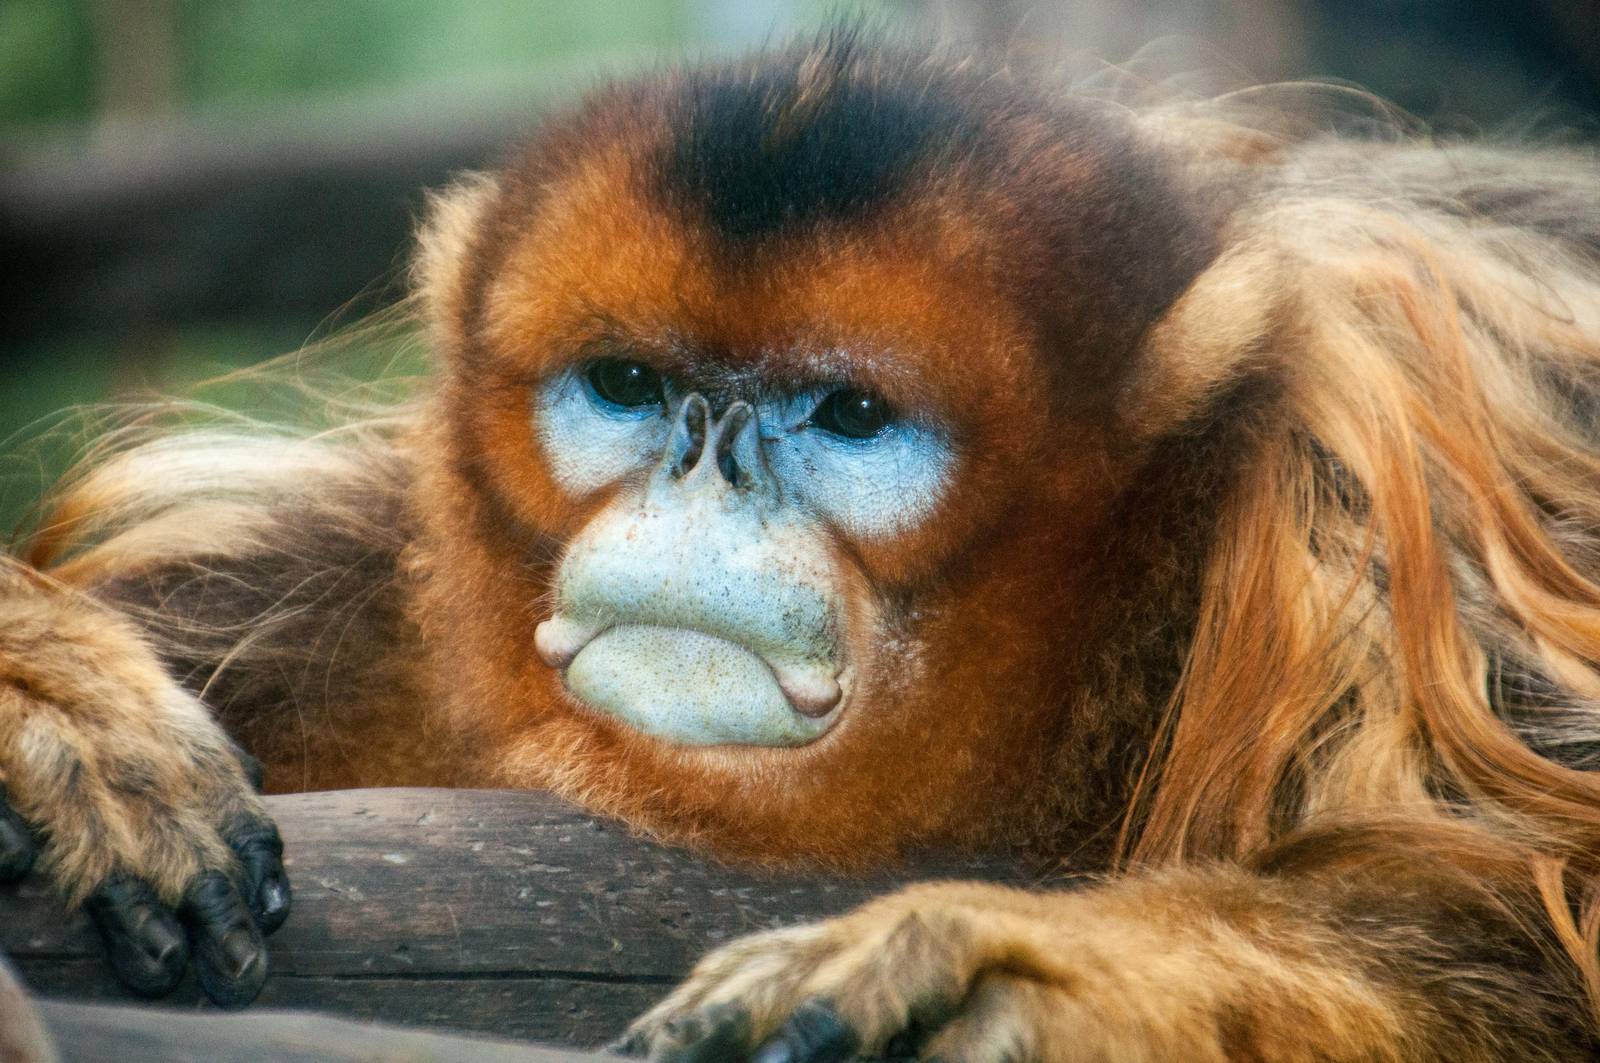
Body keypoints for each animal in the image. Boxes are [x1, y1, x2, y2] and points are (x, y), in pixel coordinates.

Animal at [4, 28, 1600, 1058]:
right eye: (631, 385)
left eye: (849, 415)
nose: (706, 467)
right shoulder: (342, 578)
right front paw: (53, 703)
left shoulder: (1367, 508)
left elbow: (1544, 913)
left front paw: (1027, 966)